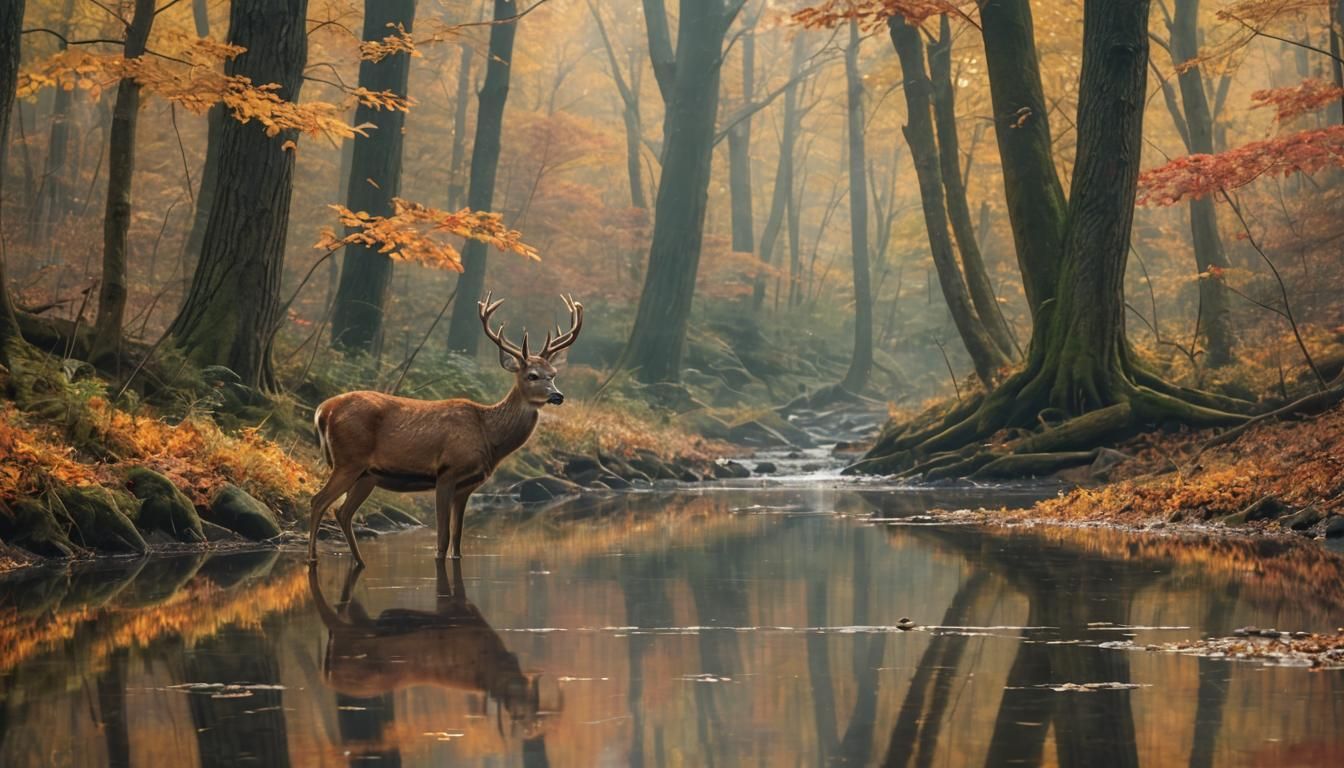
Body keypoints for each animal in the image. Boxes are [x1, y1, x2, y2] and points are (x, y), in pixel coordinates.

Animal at [308, 293, 582, 566]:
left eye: (553, 374)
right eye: (532, 375)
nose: (558, 396)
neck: (488, 434)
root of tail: (323, 409)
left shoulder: (467, 486)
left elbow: (457, 539)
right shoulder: (447, 472)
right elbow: (442, 538)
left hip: (368, 475)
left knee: (342, 511)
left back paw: (360, 561)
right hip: (348, 460)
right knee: (318, 501)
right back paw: (312, 559)